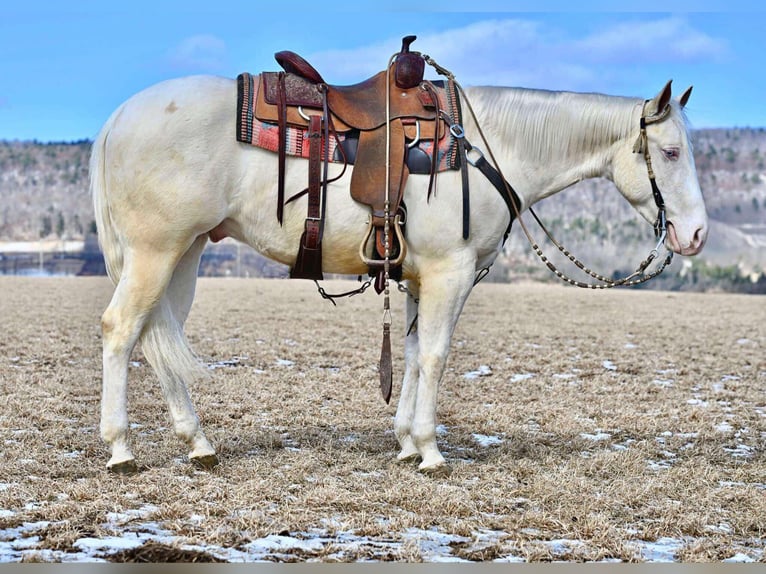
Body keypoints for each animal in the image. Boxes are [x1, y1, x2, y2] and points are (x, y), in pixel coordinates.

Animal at [88, 73, 708, 476]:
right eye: (671, 153)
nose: (697, 234)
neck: (487, 149)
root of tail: (118, 118)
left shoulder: (417, 278)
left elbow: (410, 355)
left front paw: (407, 443)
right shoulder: (450, 273)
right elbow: (435, 355)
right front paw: (431, 451)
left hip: (185, 254)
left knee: (156, 337)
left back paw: (198, 442)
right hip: (155, 252)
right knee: (121, 330)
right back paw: (121, 449)